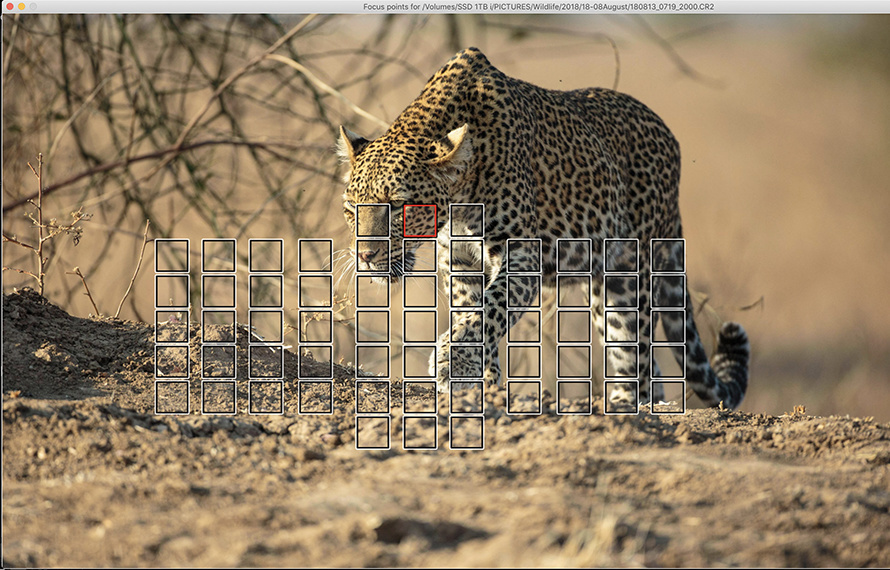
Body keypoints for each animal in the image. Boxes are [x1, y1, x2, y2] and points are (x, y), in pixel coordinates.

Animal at [337, 47, 749, 410]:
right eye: (351, 207)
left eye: (397, 205)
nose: (365, 255)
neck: (460, 199)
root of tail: (669, 137)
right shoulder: (458, 259)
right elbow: (472, 311)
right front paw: (481, 383)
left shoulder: (521, 252)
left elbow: (491, 307)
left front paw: (453, 362)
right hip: (608, 286)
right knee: (639, 359)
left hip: (635, 273)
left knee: (643, 355)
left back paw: (633, 409)